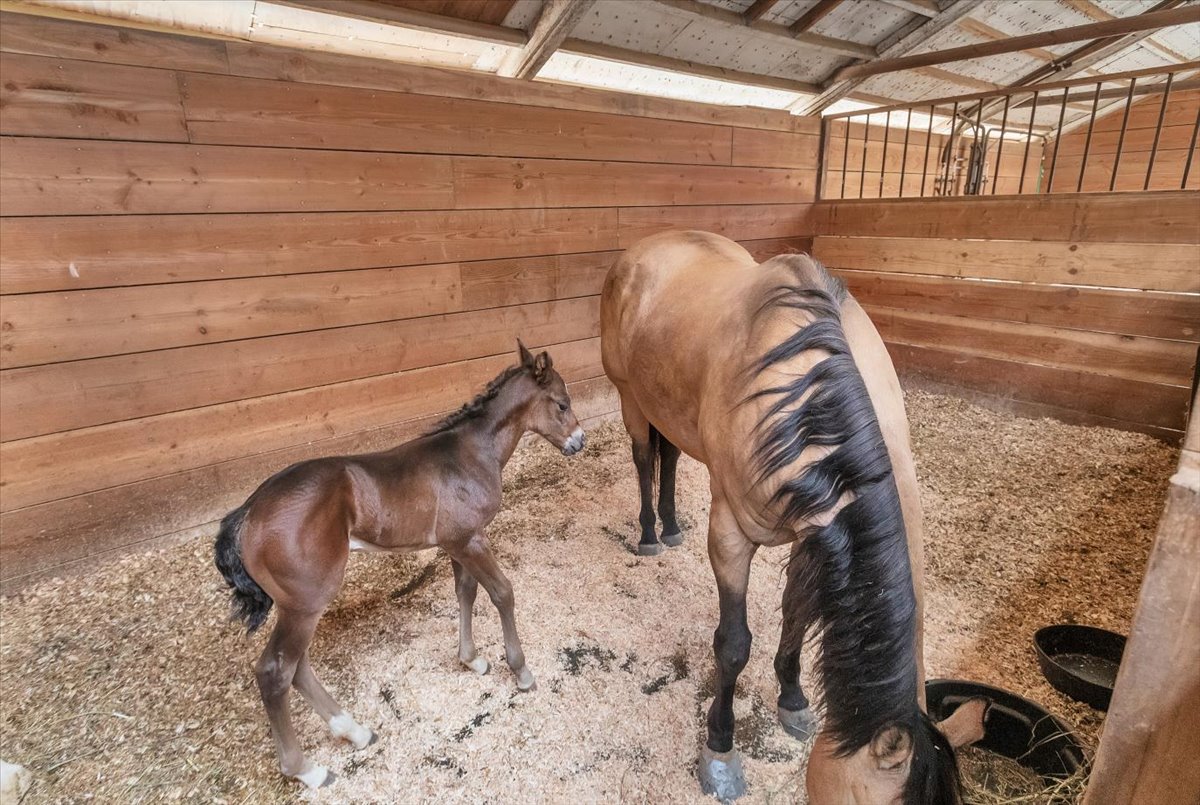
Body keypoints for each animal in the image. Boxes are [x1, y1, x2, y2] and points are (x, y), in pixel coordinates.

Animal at [213, 342, 585, 789]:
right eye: (562, 403)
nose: (579, 442)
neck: (470, 454)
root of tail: (248, 513)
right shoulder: (471, 540)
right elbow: (501, 593)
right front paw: (521, 671)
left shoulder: (458, 541)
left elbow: (466, 593)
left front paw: (471, 659)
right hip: (306, 602)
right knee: (275, 671)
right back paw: (307, 770)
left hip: (297, 606)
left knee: (296, 667)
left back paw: (354, 731)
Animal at [600, 231, 985, 804]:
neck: (807, 399)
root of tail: (643, 249)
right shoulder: (732, 533)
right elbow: (733, 646)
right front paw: (720, 752)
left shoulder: (817, 535)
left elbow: (797, 617)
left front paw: (794, 698)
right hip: (630, 396)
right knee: (646, 457)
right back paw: (650, 533)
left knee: (669, 455)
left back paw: (670, 527)